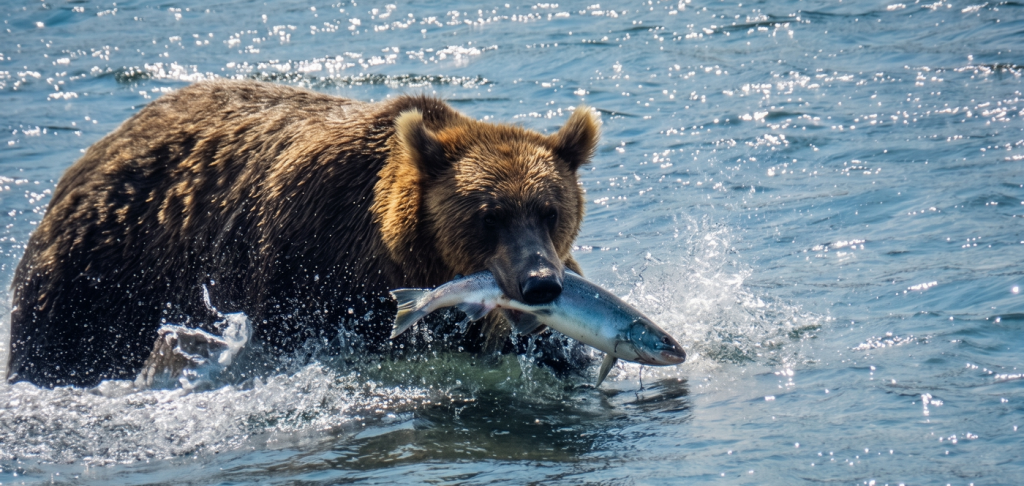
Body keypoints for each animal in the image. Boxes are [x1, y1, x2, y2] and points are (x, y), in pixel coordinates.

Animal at [6, 79, 599, 388]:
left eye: (550, 210)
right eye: (489, 215)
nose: (540, 283)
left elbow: (556, 350)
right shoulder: (310, 266)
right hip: (100, 281)